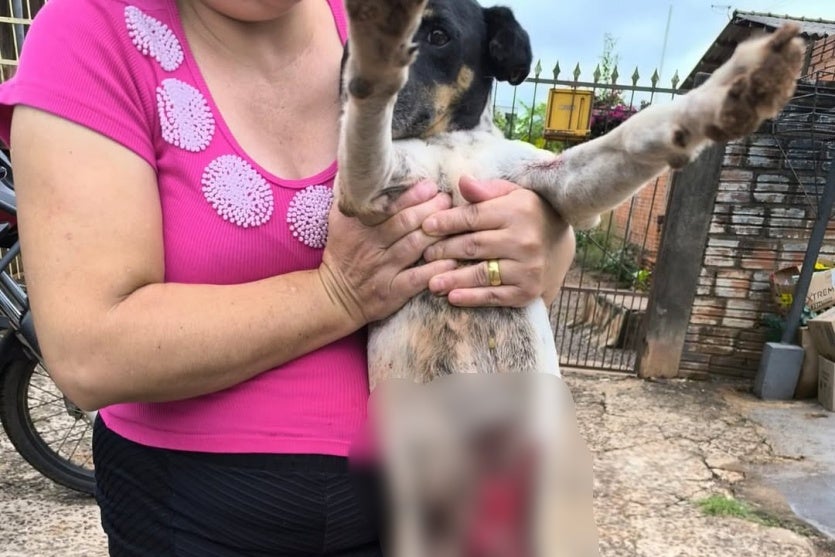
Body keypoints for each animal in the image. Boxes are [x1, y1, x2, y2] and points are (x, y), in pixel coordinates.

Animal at [335, 0, 804, 555]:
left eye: (439, 35)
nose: (339, 81)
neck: (451, 144)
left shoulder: (560, 186)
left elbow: (631, 135)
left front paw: (733, 89)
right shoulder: (368, 187)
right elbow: (368, 113)